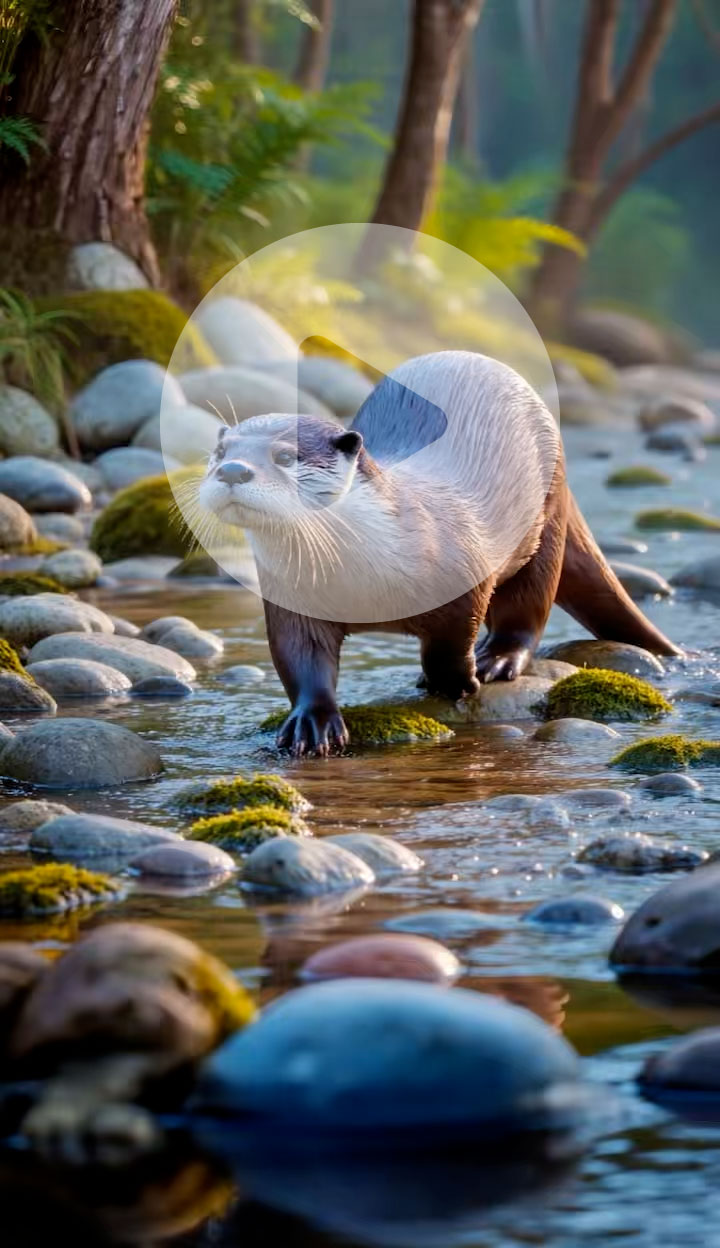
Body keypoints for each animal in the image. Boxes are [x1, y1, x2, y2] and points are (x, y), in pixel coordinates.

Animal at [197, 350, 680, 756]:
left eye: (285, 455)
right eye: (219, 451)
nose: (233, 470)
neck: (363, 573)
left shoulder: (463, 574)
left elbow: (449, 643)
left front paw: (457, 682)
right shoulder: (293, 601)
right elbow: (301, 660)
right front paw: (311, 723)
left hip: (545, 520)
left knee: (528, 607)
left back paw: (497, 660)